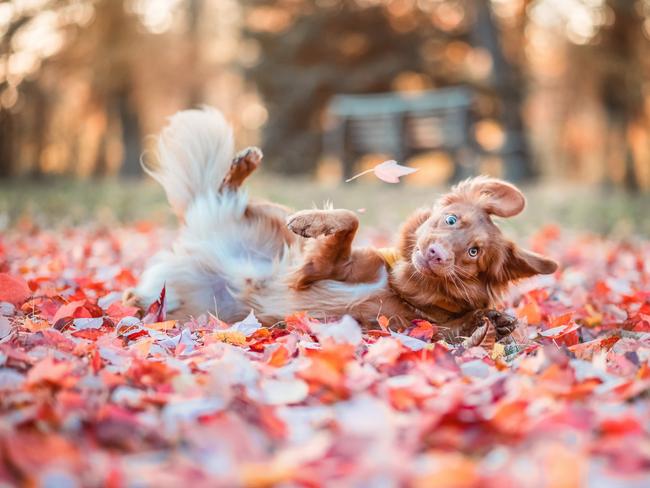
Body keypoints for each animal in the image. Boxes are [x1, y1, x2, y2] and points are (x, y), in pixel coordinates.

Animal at [128, 109, 556, 342]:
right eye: (451, 220)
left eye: (473, 253)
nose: (436, 254)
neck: (403, 287)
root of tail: (196, 243)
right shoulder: (321, 268)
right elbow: (350, 219)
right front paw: (311, 222)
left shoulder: (401, 326)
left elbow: (459, 329)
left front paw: (492, 325)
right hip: (269, 216)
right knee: (224, 191)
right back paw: (243, 163)